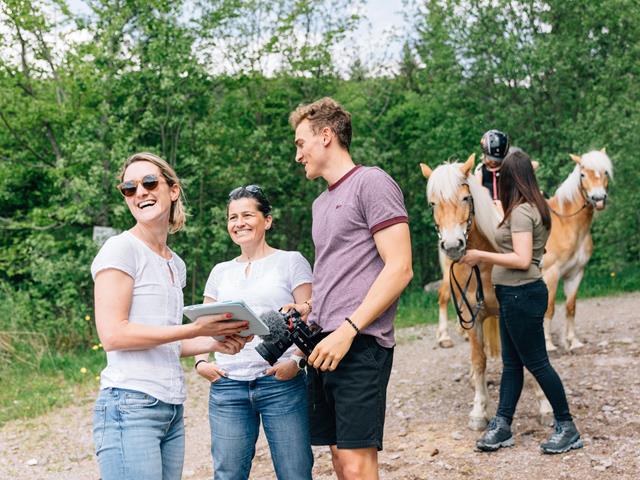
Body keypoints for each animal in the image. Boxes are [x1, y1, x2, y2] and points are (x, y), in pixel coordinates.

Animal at [544, 148, 612, 350]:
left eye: (605, 172)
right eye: (582, 175)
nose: (599, 199)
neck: (565, 224)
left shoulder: (575, 273)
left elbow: (570, 307)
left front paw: (573, 342)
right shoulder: (550, 274)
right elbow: (549, 308)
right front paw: (548, 344)